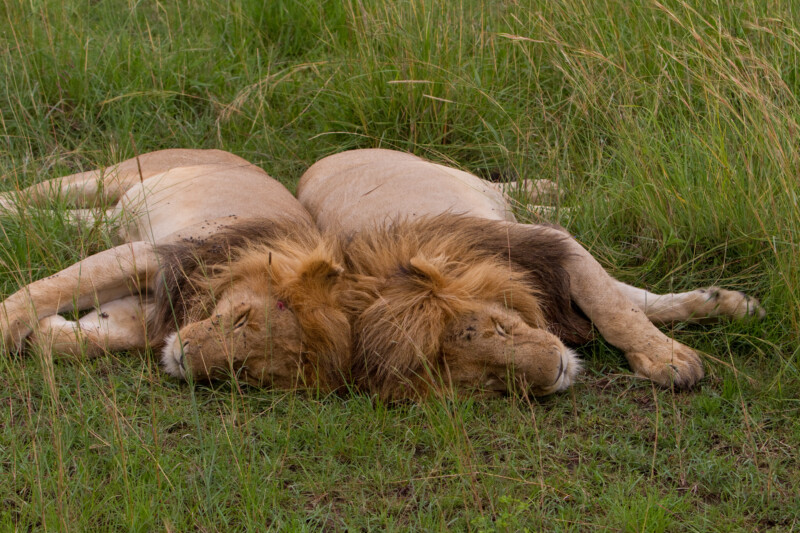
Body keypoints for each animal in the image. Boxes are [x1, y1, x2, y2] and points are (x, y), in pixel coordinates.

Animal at [0, 149, 350, 391]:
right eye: (242, 317)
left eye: (245, 370)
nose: (183, 360)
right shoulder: (150, 254)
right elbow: (51, 288)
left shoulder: (153, 306)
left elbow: (102, 334)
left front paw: (45, 331)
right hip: (116, 176)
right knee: (29, 194)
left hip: (110, 220)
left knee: (64, 216)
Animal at [297, 148, 765, 397]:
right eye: (487, 381)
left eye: (501, 327)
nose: (556, 369)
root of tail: (319, 162)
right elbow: (630, 300)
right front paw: (721, 305)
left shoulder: (550, 247)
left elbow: (618, 309)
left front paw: (670, 355)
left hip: (458, 178)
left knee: (513, 190)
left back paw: (586, 197)